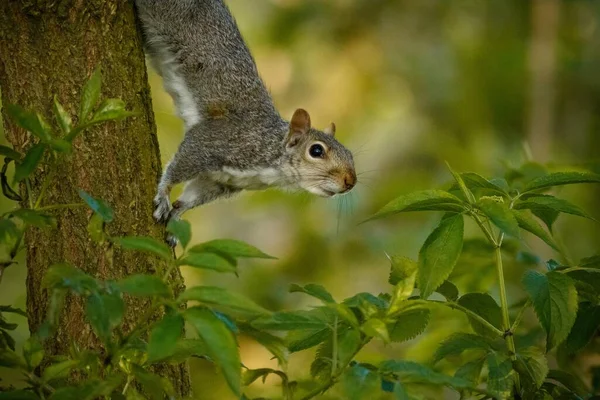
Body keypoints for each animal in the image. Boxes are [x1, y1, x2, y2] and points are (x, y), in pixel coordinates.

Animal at [134, 0, 356, 236]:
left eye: (350, 154)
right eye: (316, 151)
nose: (350, 181)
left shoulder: (221, 182)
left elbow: (193, 195)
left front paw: (177, 213)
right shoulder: (214, 141)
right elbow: (181, 164)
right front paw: (164, 194)